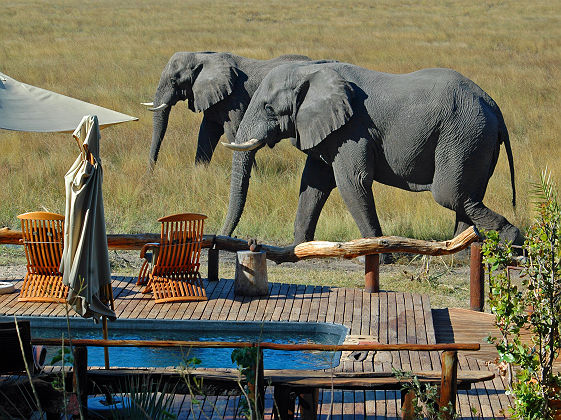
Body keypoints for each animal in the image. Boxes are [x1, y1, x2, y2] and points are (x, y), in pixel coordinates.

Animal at [142, 53, 310, 169]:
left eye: (173, 81)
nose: (151, 173)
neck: (202, 57)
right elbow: (207, 132)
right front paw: (198, 174)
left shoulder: (235, 98)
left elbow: (233, 131)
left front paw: (256, 178)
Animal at [221, 60, 524, 248]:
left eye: (269, 108)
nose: (225, 239)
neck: (312, 71)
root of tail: (494, 106)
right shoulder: (331, 131)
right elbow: (314, 184)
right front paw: (299, 248)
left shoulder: (353, 129)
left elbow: (352, 182)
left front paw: (378, 253)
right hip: (475, 140)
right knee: (465, 195)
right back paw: (457, 251)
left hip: (464, 134)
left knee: (450, 194)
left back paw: (512, 240)